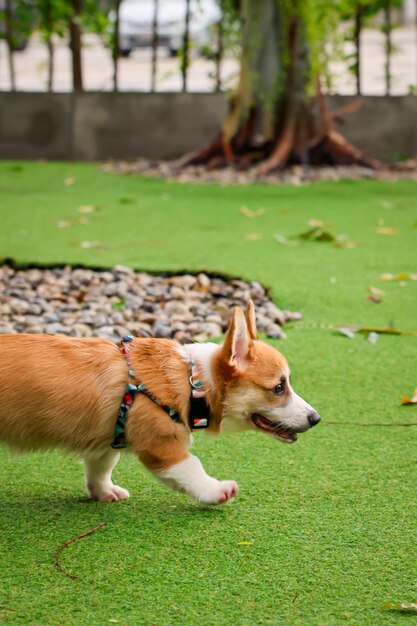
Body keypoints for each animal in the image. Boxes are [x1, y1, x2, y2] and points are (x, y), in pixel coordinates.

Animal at [0, 300, 318, 504]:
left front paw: (104, 493)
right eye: (279, 387)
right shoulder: (160, 446)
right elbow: (192, 467)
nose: (316, 418)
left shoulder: (111, 436)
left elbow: (101, 467)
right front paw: (216, 491)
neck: (193, 381)